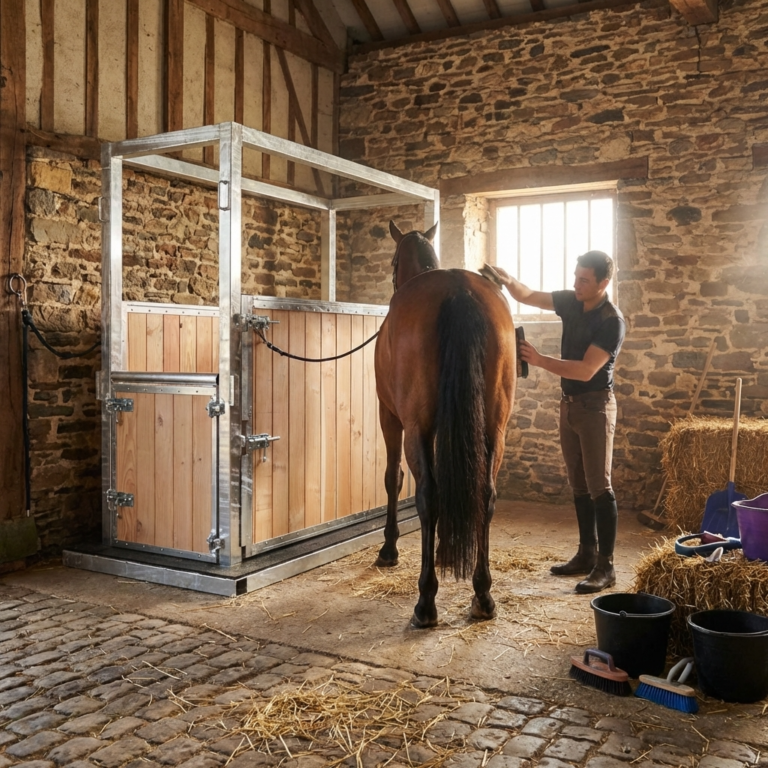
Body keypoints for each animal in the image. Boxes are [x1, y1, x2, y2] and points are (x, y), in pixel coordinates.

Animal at [374, 220, 517, 628]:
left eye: (393, 262)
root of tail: (459, 291)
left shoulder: (390, 415)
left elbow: (393, 478)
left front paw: (389, 549)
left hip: (415, 426)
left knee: (428, 497)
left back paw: (425, 602)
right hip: (495, 428)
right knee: (486, 495)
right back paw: (483, 595)